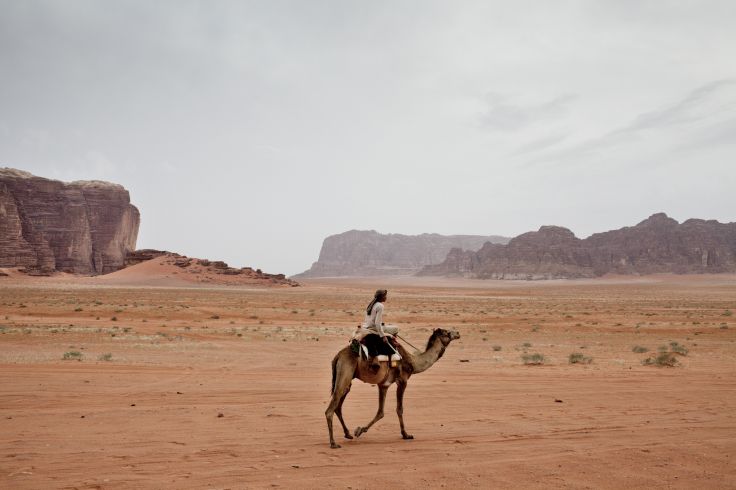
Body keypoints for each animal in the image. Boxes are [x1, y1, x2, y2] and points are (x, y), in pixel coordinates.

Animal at [324, 330, 458, 448]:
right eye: (447, 333)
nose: (457, 333)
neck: (413, 362)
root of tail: (338, 356)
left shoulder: (384, 385)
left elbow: (380, 412)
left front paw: (359, 430)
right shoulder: (402, 381)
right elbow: (399, 409)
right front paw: (406, 434)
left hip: (347, 380)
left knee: (338, 406)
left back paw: (348, 434)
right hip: (345, 373)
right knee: (330, 409)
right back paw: (333, 443)